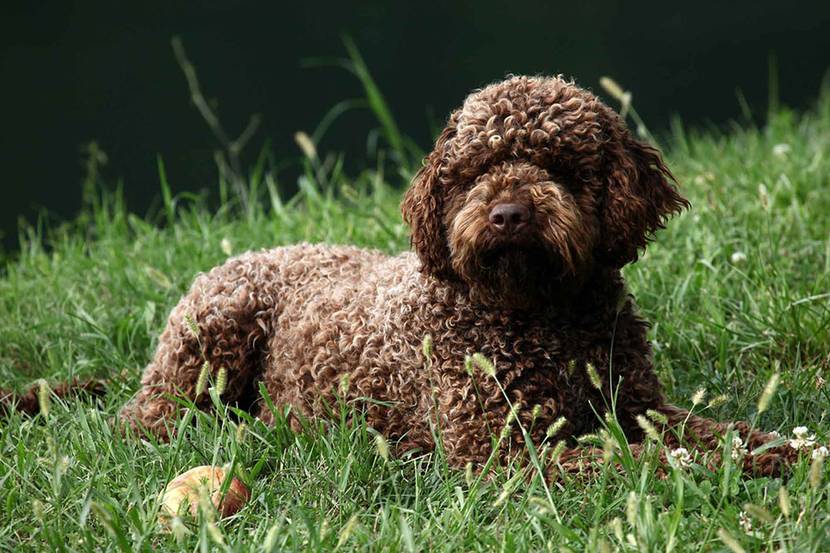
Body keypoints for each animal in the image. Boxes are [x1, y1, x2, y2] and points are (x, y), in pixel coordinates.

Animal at [118, 75, 800, 476]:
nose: (508, 214)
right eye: (474, 170)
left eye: (559, 165)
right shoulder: (498, 451)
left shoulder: (637, 403)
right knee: (145, 416)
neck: (542, 317)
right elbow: (630, 460)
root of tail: (251, 254)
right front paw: (702, 468)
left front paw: (782, 450)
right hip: (213, 339)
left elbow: (720, 431)